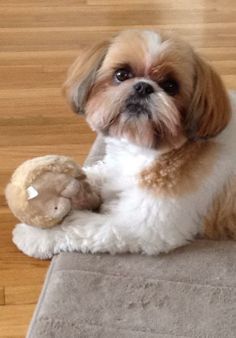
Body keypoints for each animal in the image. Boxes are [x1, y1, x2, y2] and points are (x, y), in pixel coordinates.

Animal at [13, 29, 236, 258]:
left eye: (171, 86)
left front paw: (35, 235)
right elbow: (94, 175)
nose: (143, 87)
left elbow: (80, 228)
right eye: (121, 75)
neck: (149, 150)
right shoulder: (116, 170)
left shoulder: (143, 226)